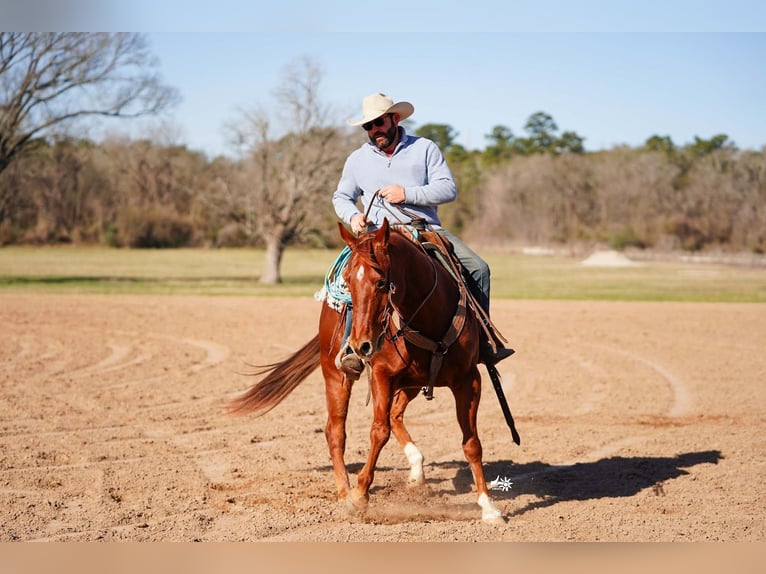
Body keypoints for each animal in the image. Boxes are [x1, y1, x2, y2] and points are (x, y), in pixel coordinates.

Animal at [229, 218, 519, 522]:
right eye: (348, 281)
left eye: (381, 282)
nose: (361, 344)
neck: (428, 320)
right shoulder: (382, 376)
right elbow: (379, 432)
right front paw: (359, 496)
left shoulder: (468, 380)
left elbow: (471, 442)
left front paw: (488, 506)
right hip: (336, 376)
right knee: (336, 431)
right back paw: (345, 491)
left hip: (412, 384)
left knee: (395, 415)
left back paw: (416, 470)